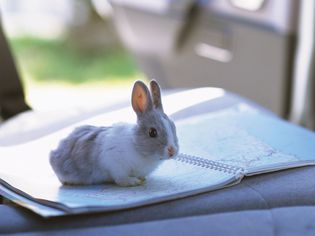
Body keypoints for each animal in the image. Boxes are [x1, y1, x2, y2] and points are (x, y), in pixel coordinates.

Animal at [48, 80, 178, 187]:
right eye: (152, 132)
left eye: (173, 126)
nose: (172, 151)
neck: (136, 145)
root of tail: (54, 153)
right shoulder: (115, 164)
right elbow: (120, 179)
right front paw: (133, 182)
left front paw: (142, 179)